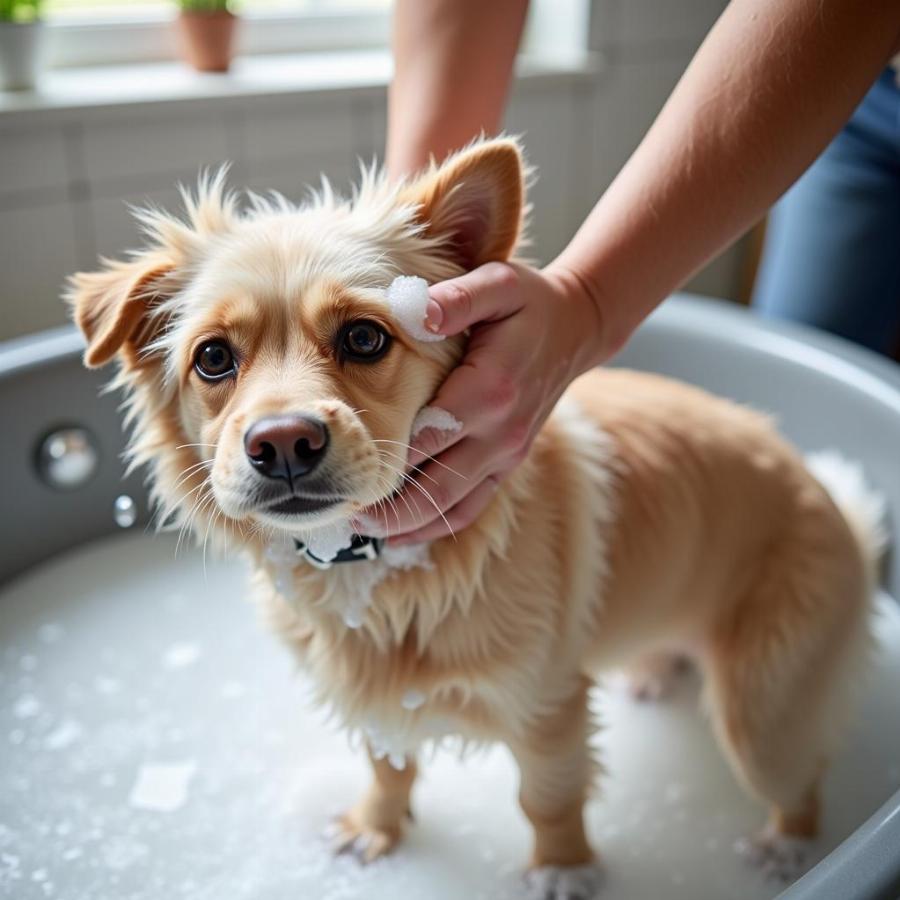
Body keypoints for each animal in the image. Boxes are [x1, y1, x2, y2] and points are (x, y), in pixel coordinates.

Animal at [68, 141, 880, 900]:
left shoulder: (547, 705)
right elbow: (388, 766)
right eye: (212, 358)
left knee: (800, 779)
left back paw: (787, 850)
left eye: (364, 337)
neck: (375, 570)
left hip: (761, 709)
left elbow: (547, 800)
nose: (283, 443)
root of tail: (841, 509)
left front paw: (563, 871)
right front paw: (375, 828)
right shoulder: (376, 695)